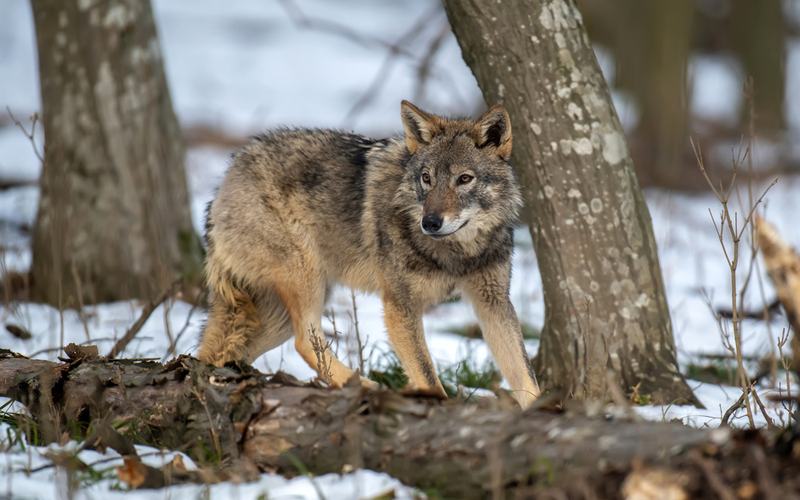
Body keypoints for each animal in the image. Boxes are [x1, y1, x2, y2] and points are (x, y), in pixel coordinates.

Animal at [197, 100, 540, 408]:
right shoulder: (399, 306)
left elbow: (525, 375)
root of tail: (226, 177)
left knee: (226, 354)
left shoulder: (494, 303)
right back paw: (368, 388)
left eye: (464, 179)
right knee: (305, 341)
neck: (458, 252)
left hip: (277, 315)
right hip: (304, 280)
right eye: (427, 178)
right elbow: (428, 377)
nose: (430, 222)